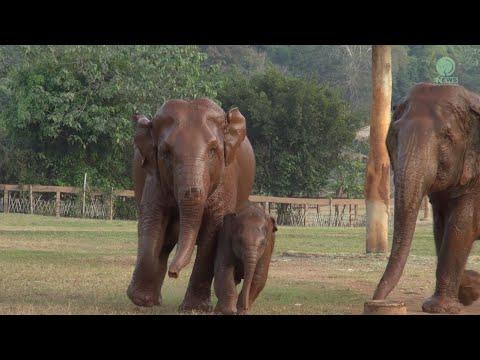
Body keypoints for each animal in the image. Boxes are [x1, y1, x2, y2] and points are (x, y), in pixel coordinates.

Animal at [126, 97, 255, 310]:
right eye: (165, 153)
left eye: (213, 150)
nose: (174, 273)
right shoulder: (154, 176)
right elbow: (152, 219)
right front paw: (141, 300)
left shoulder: (226, 177)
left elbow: (214, 228)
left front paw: (195, 308)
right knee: (165, 244)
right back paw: (154, 300)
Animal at [374, 83, 480, 314]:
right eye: (395, 134)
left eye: (447, 136)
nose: (377, 302)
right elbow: (441, 228)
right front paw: (470, 290)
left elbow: (460, 227)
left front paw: (439, 308)